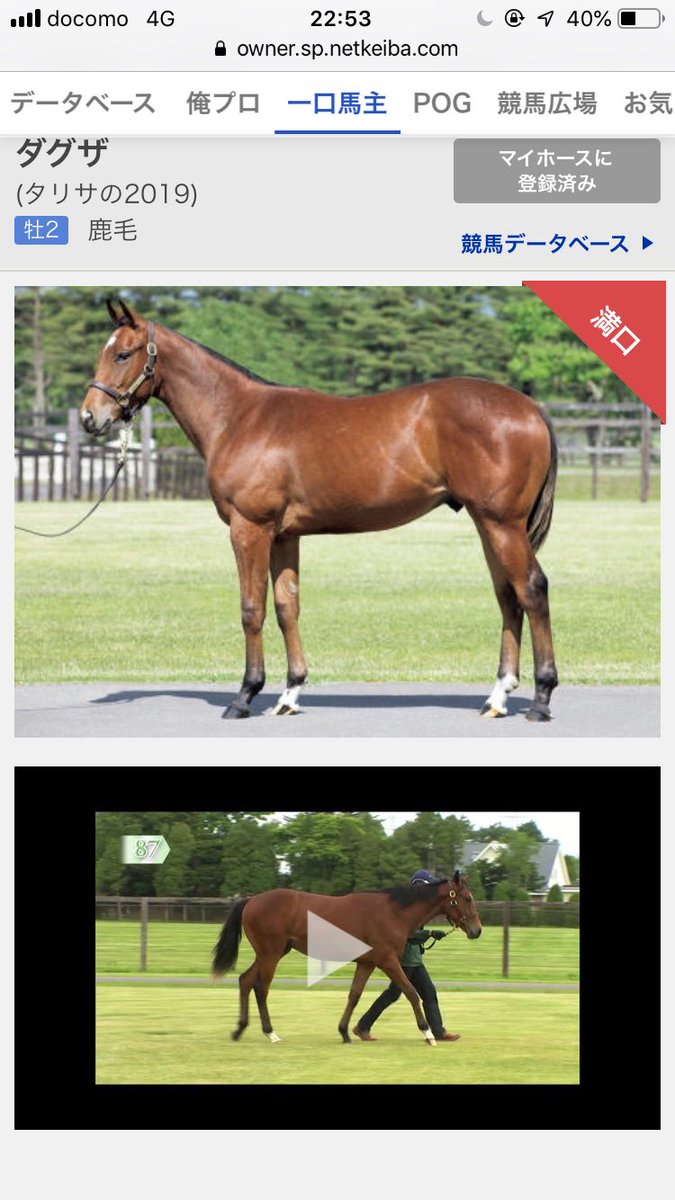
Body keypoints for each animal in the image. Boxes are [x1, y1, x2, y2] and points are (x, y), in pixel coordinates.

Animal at [81, 299, 559, 722]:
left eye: (122, 353)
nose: (90, 417)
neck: (241, 418)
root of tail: (530, 406)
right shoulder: (283, 535)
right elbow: (286, 606)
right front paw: (290, 693)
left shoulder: (249, 529)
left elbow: (251, 608)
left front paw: (245, 695)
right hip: (488, 524)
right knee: (508, 596)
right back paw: (497, 697)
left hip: (502, 524)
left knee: (532, 589)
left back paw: (541, 698)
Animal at [212, 874, 482, 1045]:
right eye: (468, 898)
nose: (477, 930)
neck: (393, 912)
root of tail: (252, 900)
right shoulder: (388, 961)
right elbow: (411, 992)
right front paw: (428, 1034)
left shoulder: (367, 963)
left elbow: (354, 995)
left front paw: (344, 1032)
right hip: (271, 954)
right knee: (261, 987)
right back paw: (270, 1033)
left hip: (271, 953)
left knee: (245, 980)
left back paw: (239, 1029)